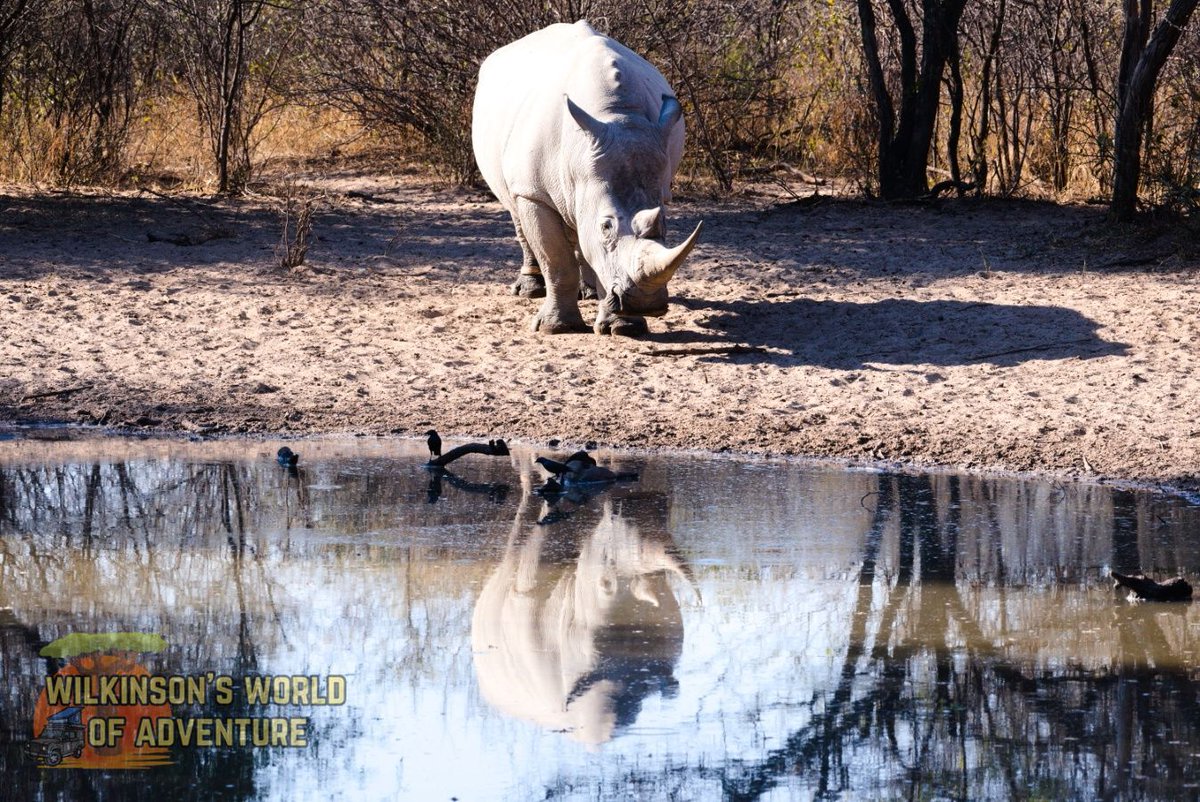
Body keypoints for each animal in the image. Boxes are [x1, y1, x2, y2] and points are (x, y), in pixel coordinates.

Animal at [472, 21, 703, 336]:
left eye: (664, 225)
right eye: (606, 227)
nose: (645, 304)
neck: (614, 113)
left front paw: (624, 327)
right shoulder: (533, 192)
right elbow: (556, 259)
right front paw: (556, 328)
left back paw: (590, 293)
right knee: (516, 211)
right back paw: (529, 291)